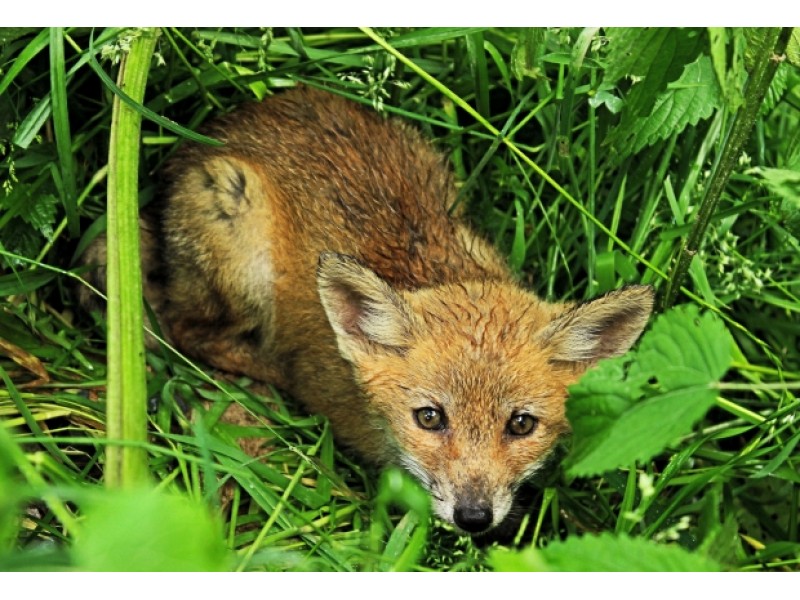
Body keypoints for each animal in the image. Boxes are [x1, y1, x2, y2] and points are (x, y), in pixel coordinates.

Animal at [83, 86, 654, 536]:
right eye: (430, 417)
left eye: (521, 424)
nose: (473, 517)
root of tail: (226, 124)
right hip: (238, 243)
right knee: (191, 331)